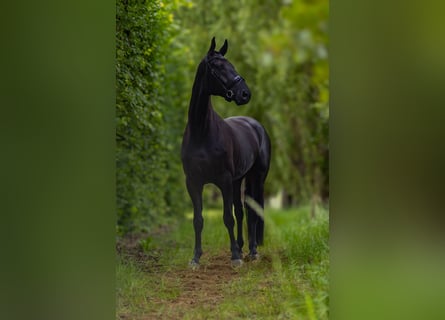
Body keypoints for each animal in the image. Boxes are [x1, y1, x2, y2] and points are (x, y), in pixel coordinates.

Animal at [180, 38, 270, 268]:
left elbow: (227, 217)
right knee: (241, 210)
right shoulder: (193, 182)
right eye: (218, 67)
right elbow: (198, 219)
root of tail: (256, 125)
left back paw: (253, 251)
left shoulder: (224, 180)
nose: (245, 94)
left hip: (256, 178)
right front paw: (195, 258)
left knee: (252, 211)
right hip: (239, 180)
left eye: (231, 65)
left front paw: (235, 257)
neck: (202, 132)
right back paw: (242, 246)